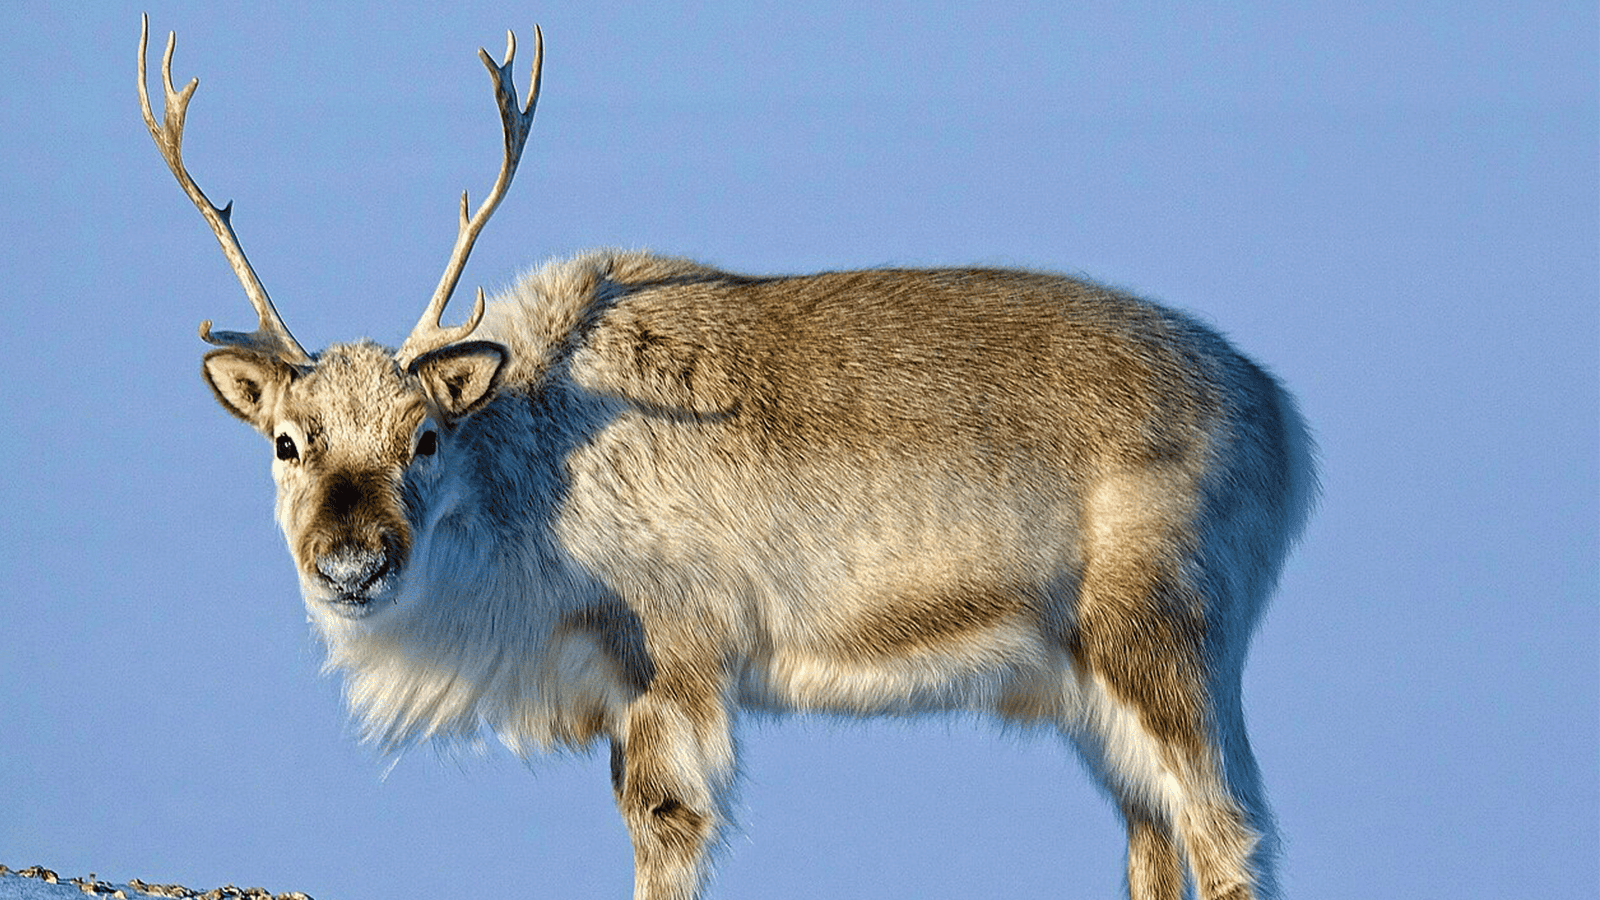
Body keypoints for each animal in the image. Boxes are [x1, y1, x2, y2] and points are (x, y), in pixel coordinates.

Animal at [139, 16, 1316, 900]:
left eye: (423, 436)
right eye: (286, 443)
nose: (351, 563)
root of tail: (1285, 422)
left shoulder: (673, 658)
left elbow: (668, 836)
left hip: (1163, 636)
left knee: (1230, 836)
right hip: (1086, 686)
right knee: (1155, 841)